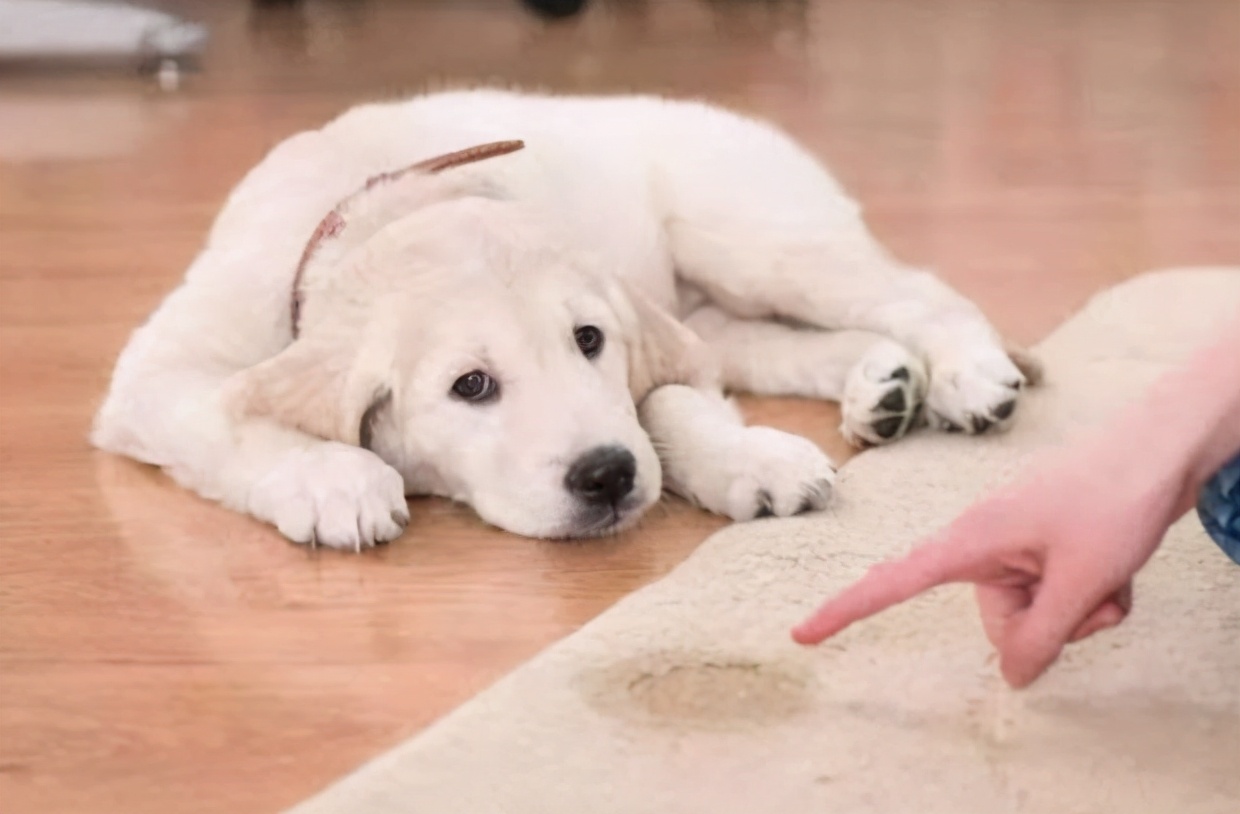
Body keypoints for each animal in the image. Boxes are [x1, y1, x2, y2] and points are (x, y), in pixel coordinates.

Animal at [91, 89, 1036, 550]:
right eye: (470, 386)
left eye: (589, 342)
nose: (607, 477)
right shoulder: (158, 373)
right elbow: (230, 418)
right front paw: (335, 480)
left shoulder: (643, 339)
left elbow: (668, 403)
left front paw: (747, 459)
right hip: (719, 305)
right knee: (771, 346)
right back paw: (883, 386)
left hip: (752, 237)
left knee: (920, 291)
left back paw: (965, 375)